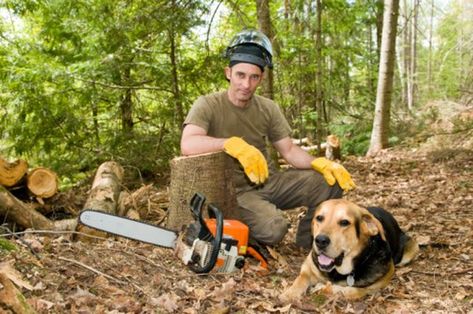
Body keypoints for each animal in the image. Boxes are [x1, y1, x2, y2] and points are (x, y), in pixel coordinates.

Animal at [280, 199, 416, 302]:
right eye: (319, 218)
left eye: (344, 222)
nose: (320, 241)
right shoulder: (308, 266)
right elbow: (300, 279)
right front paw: (289, 294)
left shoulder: (380, 280)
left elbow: (351, 291)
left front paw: (324, 288)